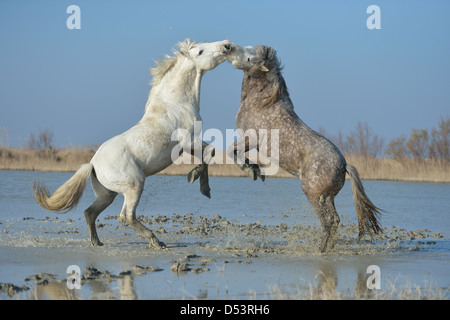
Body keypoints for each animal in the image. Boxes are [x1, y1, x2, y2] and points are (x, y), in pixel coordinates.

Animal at [33, 38, 232, 249]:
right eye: (200, 51)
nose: (226, 45)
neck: (175, 104)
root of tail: (93, 164)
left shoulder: (190, 144)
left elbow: (209, 153)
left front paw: (205, 188)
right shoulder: (187, 142)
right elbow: (210, 152)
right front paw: (195, 178)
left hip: (107, 194)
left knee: (90, 212)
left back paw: (97, 242)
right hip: (135, 185)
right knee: (126, 216)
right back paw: (156, 241)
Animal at [227, 43, 382, 252]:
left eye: (250, 55)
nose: (227, 48)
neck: (262, 101)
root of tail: (343, 165)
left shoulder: (251, 138)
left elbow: (231, 151)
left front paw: (252, 170)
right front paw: (255, 169)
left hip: (314, 194)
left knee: (329, 221)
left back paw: (321, 250)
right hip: (327, 197)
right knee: (334, 221)